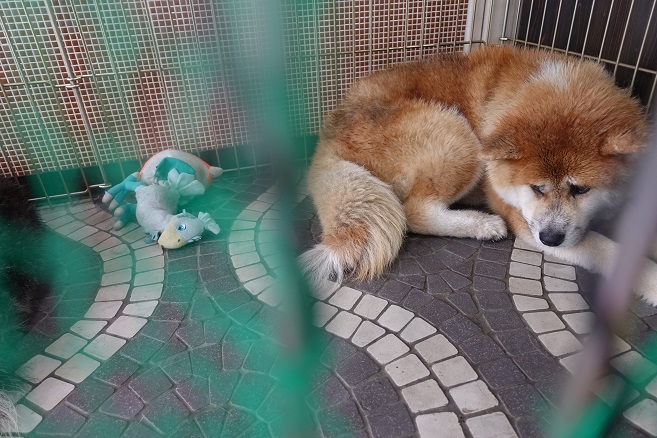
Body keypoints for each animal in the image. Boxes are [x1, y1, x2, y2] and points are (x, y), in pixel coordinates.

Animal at [301, 45, 657, 305]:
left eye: (581, 189)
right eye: (535, 187)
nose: (550, 239)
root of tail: (329, 134)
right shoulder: (523, 219)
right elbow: (607, 249)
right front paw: (650, 281)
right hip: (459, 137)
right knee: (415, 212)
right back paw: (481, 225)